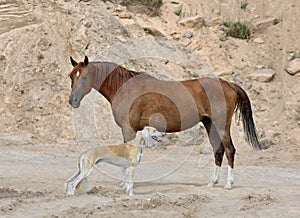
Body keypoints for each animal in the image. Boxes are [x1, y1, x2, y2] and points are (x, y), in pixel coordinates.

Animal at [67, 56, 260, 189]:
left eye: (84, 77)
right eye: (71, 77)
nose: (73, 100)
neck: (125, 88)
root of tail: (228, 84)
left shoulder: (128, 129)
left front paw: (125, 184)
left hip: (221, 125)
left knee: (229, 150)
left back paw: (228, 184)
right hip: (210, 124)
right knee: (218, 151)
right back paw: (212, 182)